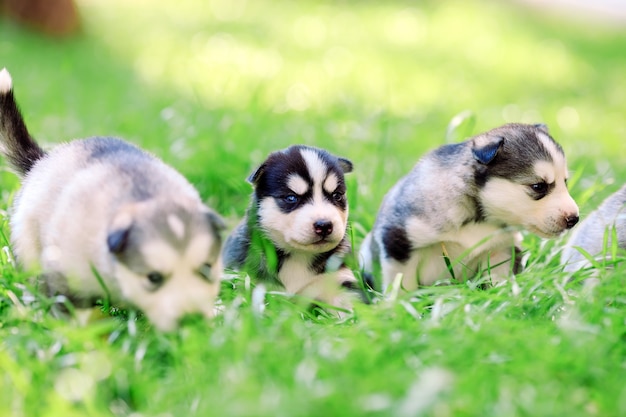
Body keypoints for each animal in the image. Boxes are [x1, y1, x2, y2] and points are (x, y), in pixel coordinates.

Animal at [0, 68, 224, 330]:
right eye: (153, 278)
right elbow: (71, 308)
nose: (192, 322)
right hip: (28, 246)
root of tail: (42, 160)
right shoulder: (65, 270)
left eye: (207, 268)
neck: (144, 195)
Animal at [223, 145, 360, 310]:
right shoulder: (248, 278)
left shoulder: (339, 280)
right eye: (291, 198)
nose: (324, 225)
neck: (298, 256)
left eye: (337, 195)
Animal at [358, 122, 576, 290]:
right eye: (538, 186)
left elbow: (498, 281)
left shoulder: (501, 249)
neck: (478, 220)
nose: (574, 219)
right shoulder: (397, 241)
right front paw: (397, 309)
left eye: (565, 182)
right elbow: (402, 284)